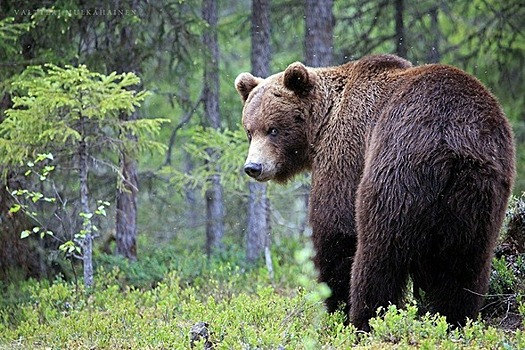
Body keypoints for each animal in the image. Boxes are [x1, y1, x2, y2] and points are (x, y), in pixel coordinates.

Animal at [235, 54, 512, 330]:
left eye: (273, 129)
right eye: (249, 130)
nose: (253, 167)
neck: (322, 124)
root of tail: (452, 141)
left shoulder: (347, 150)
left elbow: (336, 227)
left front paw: (336, 306)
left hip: (397, 168)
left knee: (379, 252)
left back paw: (366, 319)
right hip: (478, 189)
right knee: (466, 261)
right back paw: (454, 318)